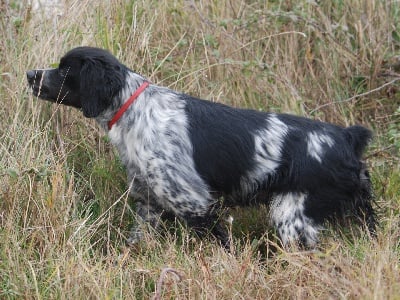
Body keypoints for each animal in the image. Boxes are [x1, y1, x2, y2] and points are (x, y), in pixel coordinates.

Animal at [26, 47, 376, 248]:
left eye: (65, 68)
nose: (30, 74)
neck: (134, 108)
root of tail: (347, 136)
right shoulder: (149, 201)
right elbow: (136, 240)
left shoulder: (194, 202)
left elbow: (218, 244)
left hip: (292, 217)